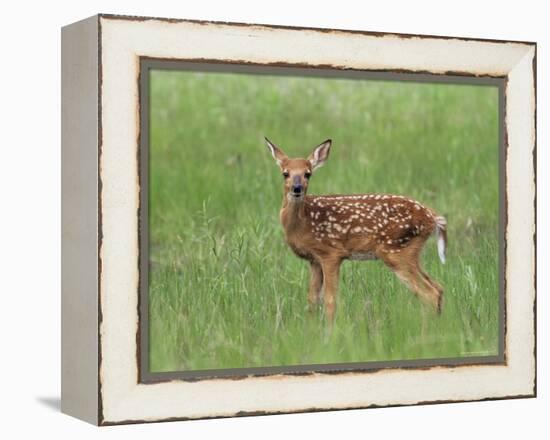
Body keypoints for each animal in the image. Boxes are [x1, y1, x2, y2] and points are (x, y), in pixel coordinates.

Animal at [266, 139, 450, 324]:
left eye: (308, 174)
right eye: (285, 173)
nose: (297, 188)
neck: (303, 222)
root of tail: (432, 217)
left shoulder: (331, 253)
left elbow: (330, 300)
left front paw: (329, 330)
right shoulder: (314, 260)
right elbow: (312, 300)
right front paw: (311, 328)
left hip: (396, 250)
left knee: (429, 293)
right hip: (411, 252)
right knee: (438, 287)